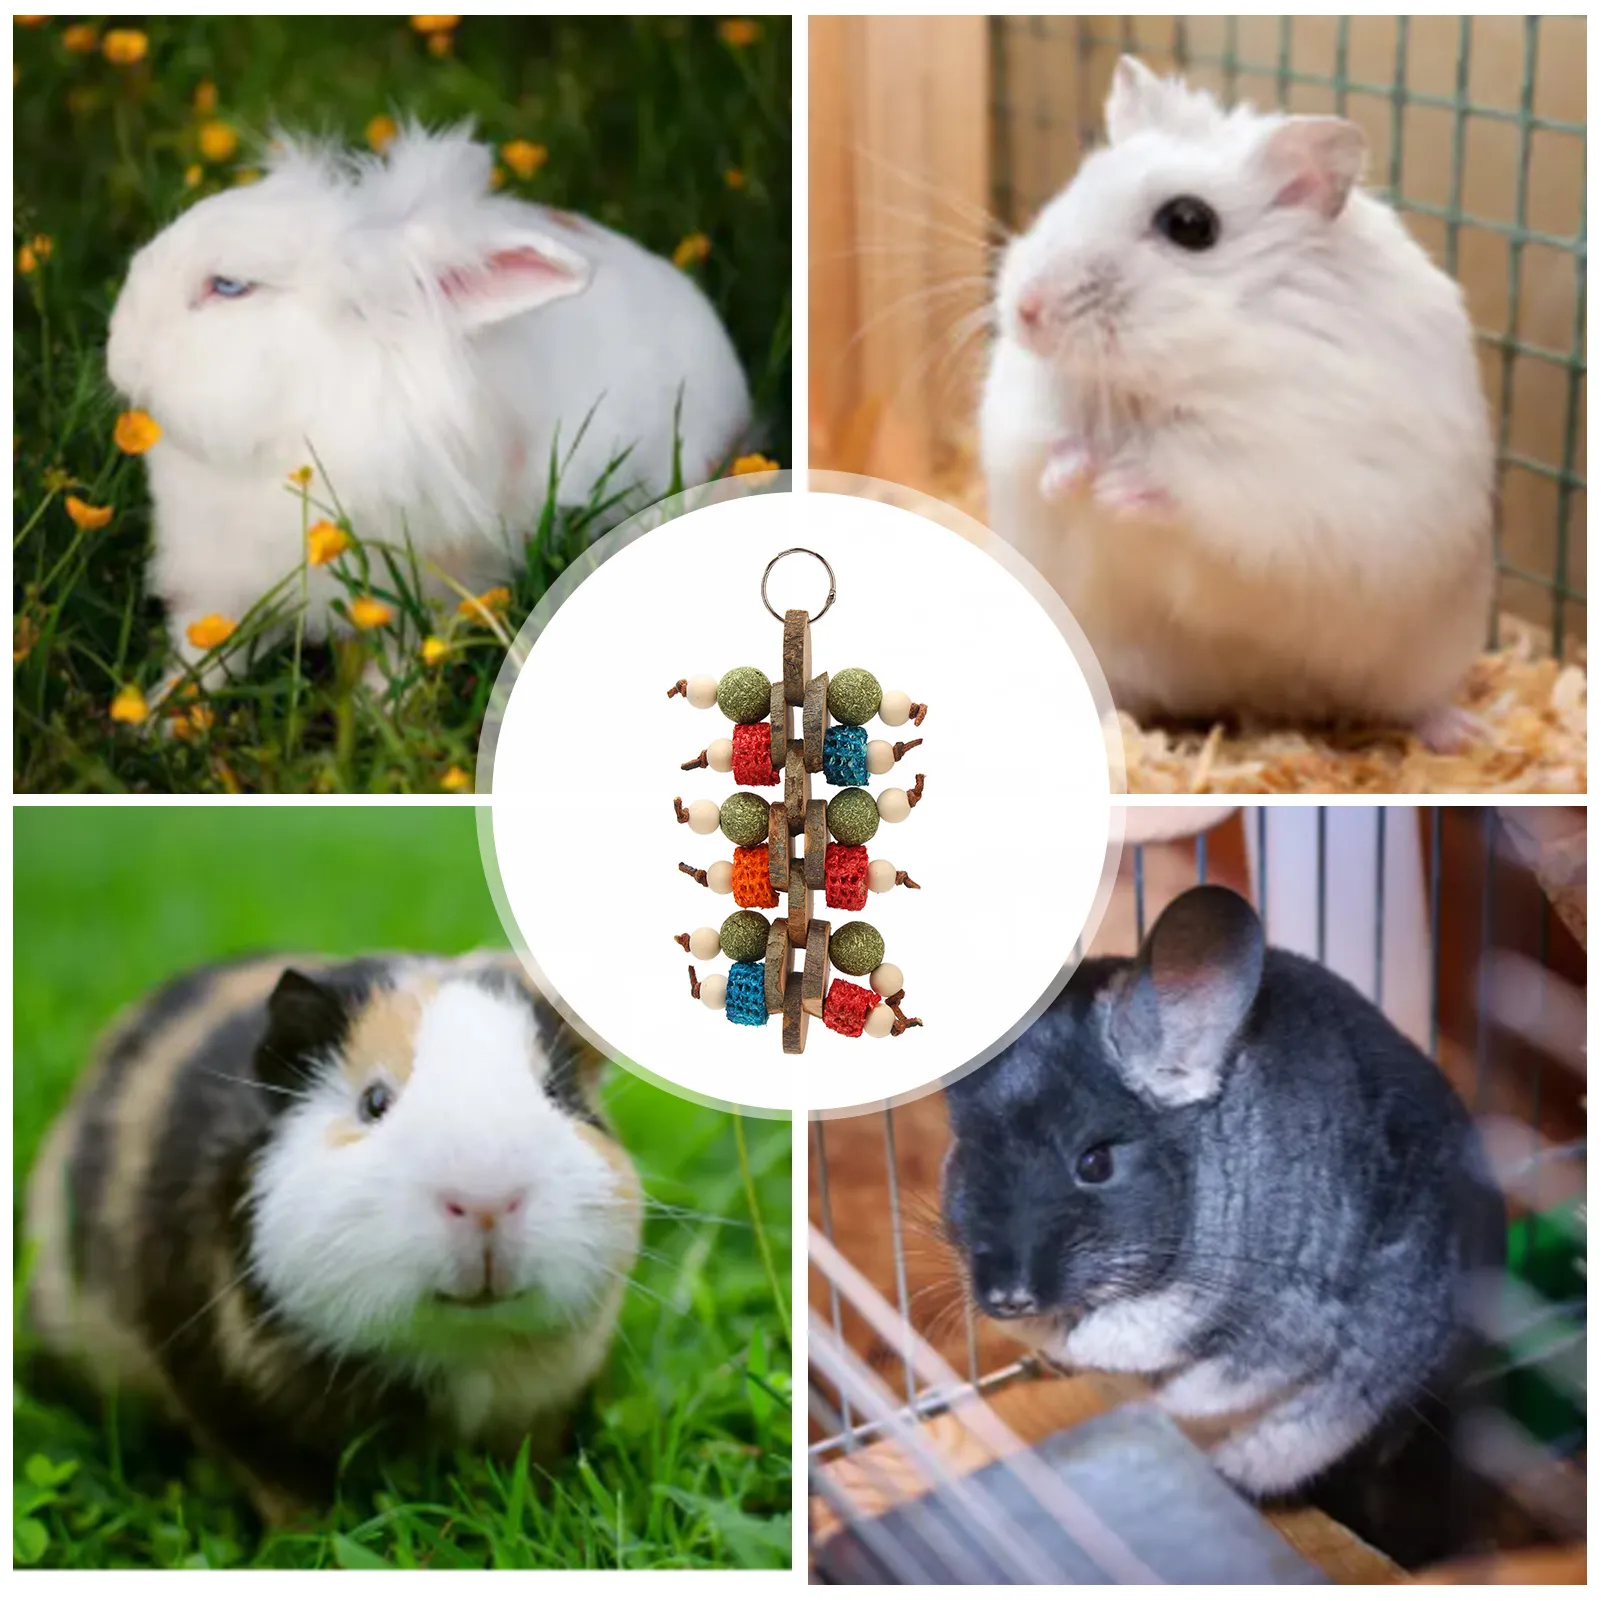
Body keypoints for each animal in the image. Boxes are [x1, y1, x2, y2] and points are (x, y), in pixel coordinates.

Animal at [24, 949, 642, 1524]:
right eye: (374, 1102)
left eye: (556, 1093)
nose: (487, 1201)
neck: (461, 1352)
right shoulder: (242, 1410)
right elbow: (288, 1490)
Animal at [106, 124, 753, 687]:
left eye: (230, 286)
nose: (118, 353)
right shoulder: (220, 582)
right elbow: (206, 650)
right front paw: (166, 716)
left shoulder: (430, 586)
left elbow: (401, 658)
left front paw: (377, 707)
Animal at [980, 57, 1494, 749]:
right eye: (1076, 186)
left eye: (1190, 224)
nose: (1027, 311)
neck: (1167, 383)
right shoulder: (1024, 419)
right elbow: (1048, 447)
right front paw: (1076, 478)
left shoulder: (1282, 470)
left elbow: (1198, 479)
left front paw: (1116, 487)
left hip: (1433, 653)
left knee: (1419, 702)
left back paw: (1465, 735)